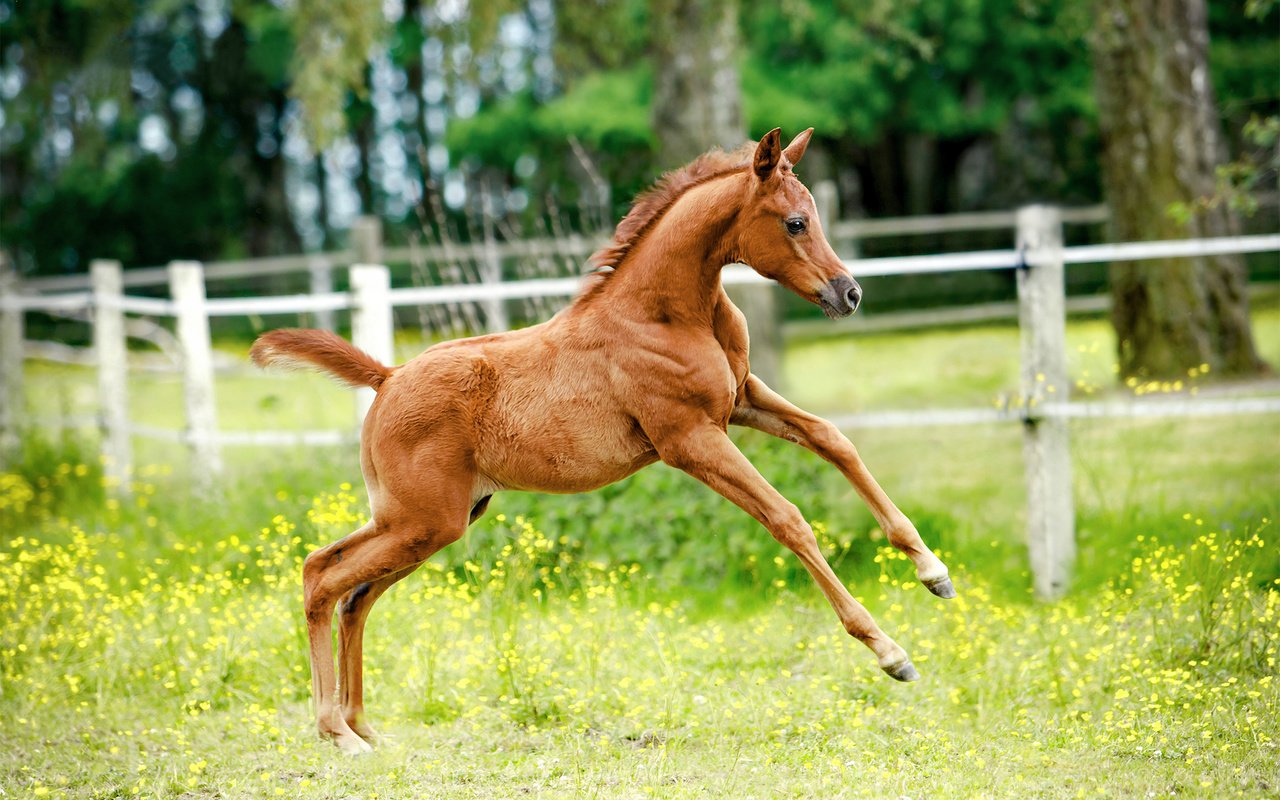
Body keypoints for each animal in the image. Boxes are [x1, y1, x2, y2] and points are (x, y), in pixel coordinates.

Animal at [252, 128, 952, 752]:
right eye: (796, 222)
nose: (849, 293)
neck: (663, 314)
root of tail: (388, 375)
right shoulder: (690, 439)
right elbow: (788, 518)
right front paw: (891, 653)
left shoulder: (742, 400)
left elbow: (833, 439)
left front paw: (933, 572)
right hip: (422, 520)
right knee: (322, 577)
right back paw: (337, 733)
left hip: (429, 521)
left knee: (351, 593)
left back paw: (365, 728)